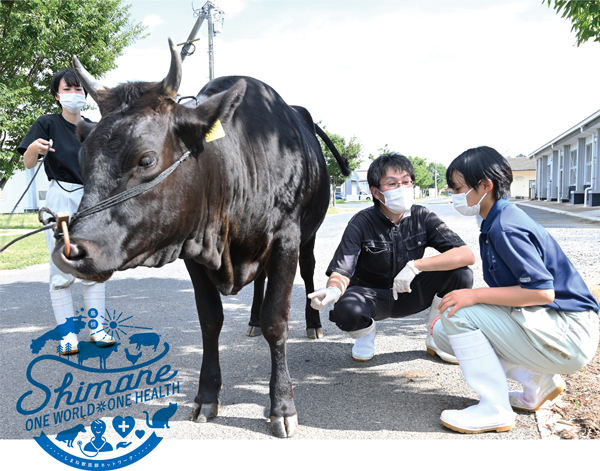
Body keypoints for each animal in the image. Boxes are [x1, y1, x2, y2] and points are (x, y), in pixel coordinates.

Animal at [53, 37, 350, 438]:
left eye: (146, 159)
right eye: (83, 160)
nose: (72, 249)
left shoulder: (285, 239)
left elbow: (277, 321)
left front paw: (282, 407)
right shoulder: (193, 250)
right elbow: (210, 320)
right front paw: (206, 397)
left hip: (307, 237)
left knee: (306, 272)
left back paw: (313, 325)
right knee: (259, 284)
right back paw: (252, 321)